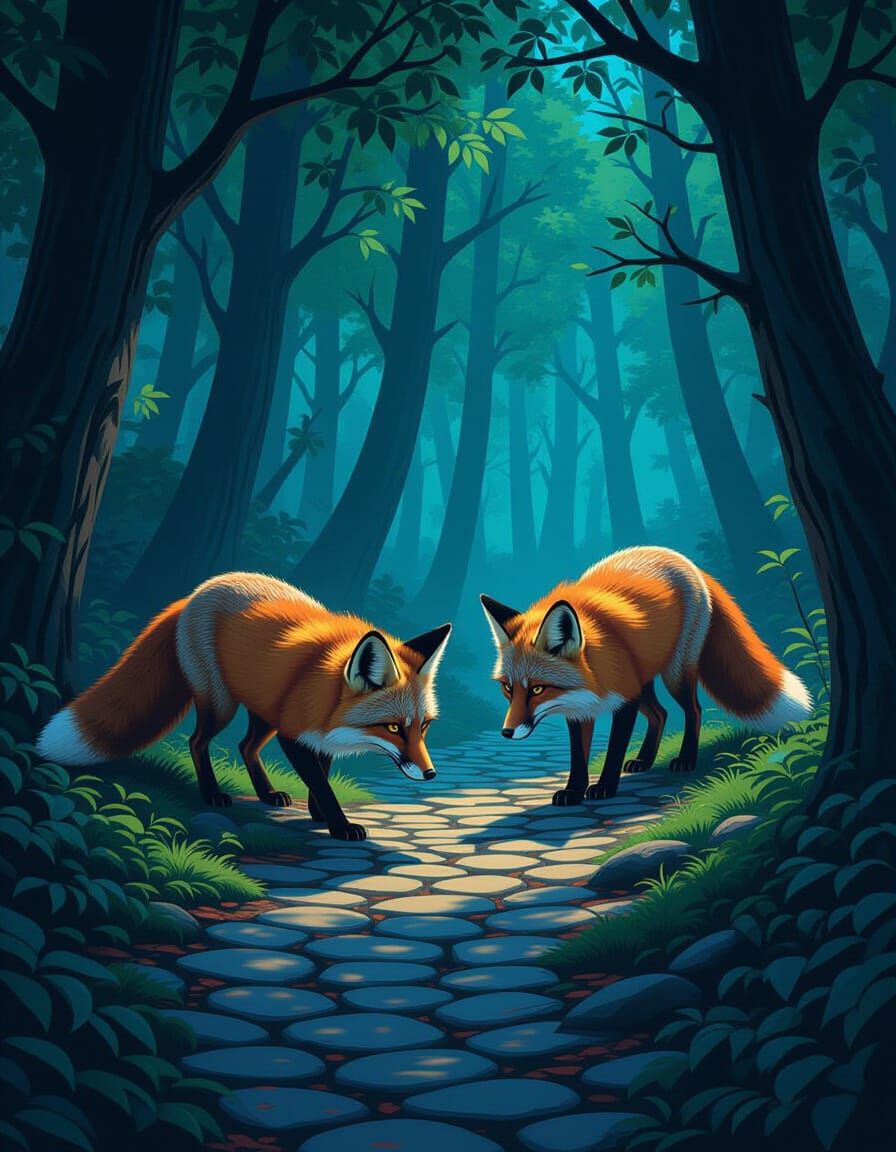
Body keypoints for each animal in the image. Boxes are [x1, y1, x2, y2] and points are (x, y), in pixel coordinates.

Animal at [37, 572, 452, 840]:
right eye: (394, 727)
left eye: (424, 726)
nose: (430, 774)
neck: (324, 692)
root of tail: (197, 592)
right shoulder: (294, 734)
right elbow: (320, 781)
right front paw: (339, 824)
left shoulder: (317, 734)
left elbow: (322, 776)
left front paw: (318, 813)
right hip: (222, 704)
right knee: (198, 741)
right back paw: (212, 794)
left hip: (265, 710)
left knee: (245, 746)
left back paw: (268, 794)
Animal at [481, 546, 813, 807]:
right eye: (508, 689)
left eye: (537, 690)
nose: (506, 732)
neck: (594, 673)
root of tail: (685, 561)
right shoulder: (579, 710)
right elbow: (578, 756)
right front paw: (574, 791)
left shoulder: (623, 700)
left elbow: (614, 749)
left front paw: (604, 787)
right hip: (643, 682)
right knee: (660, 713)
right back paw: (644, 760)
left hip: (674, 675)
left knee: (693, 710)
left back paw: (686, 759)